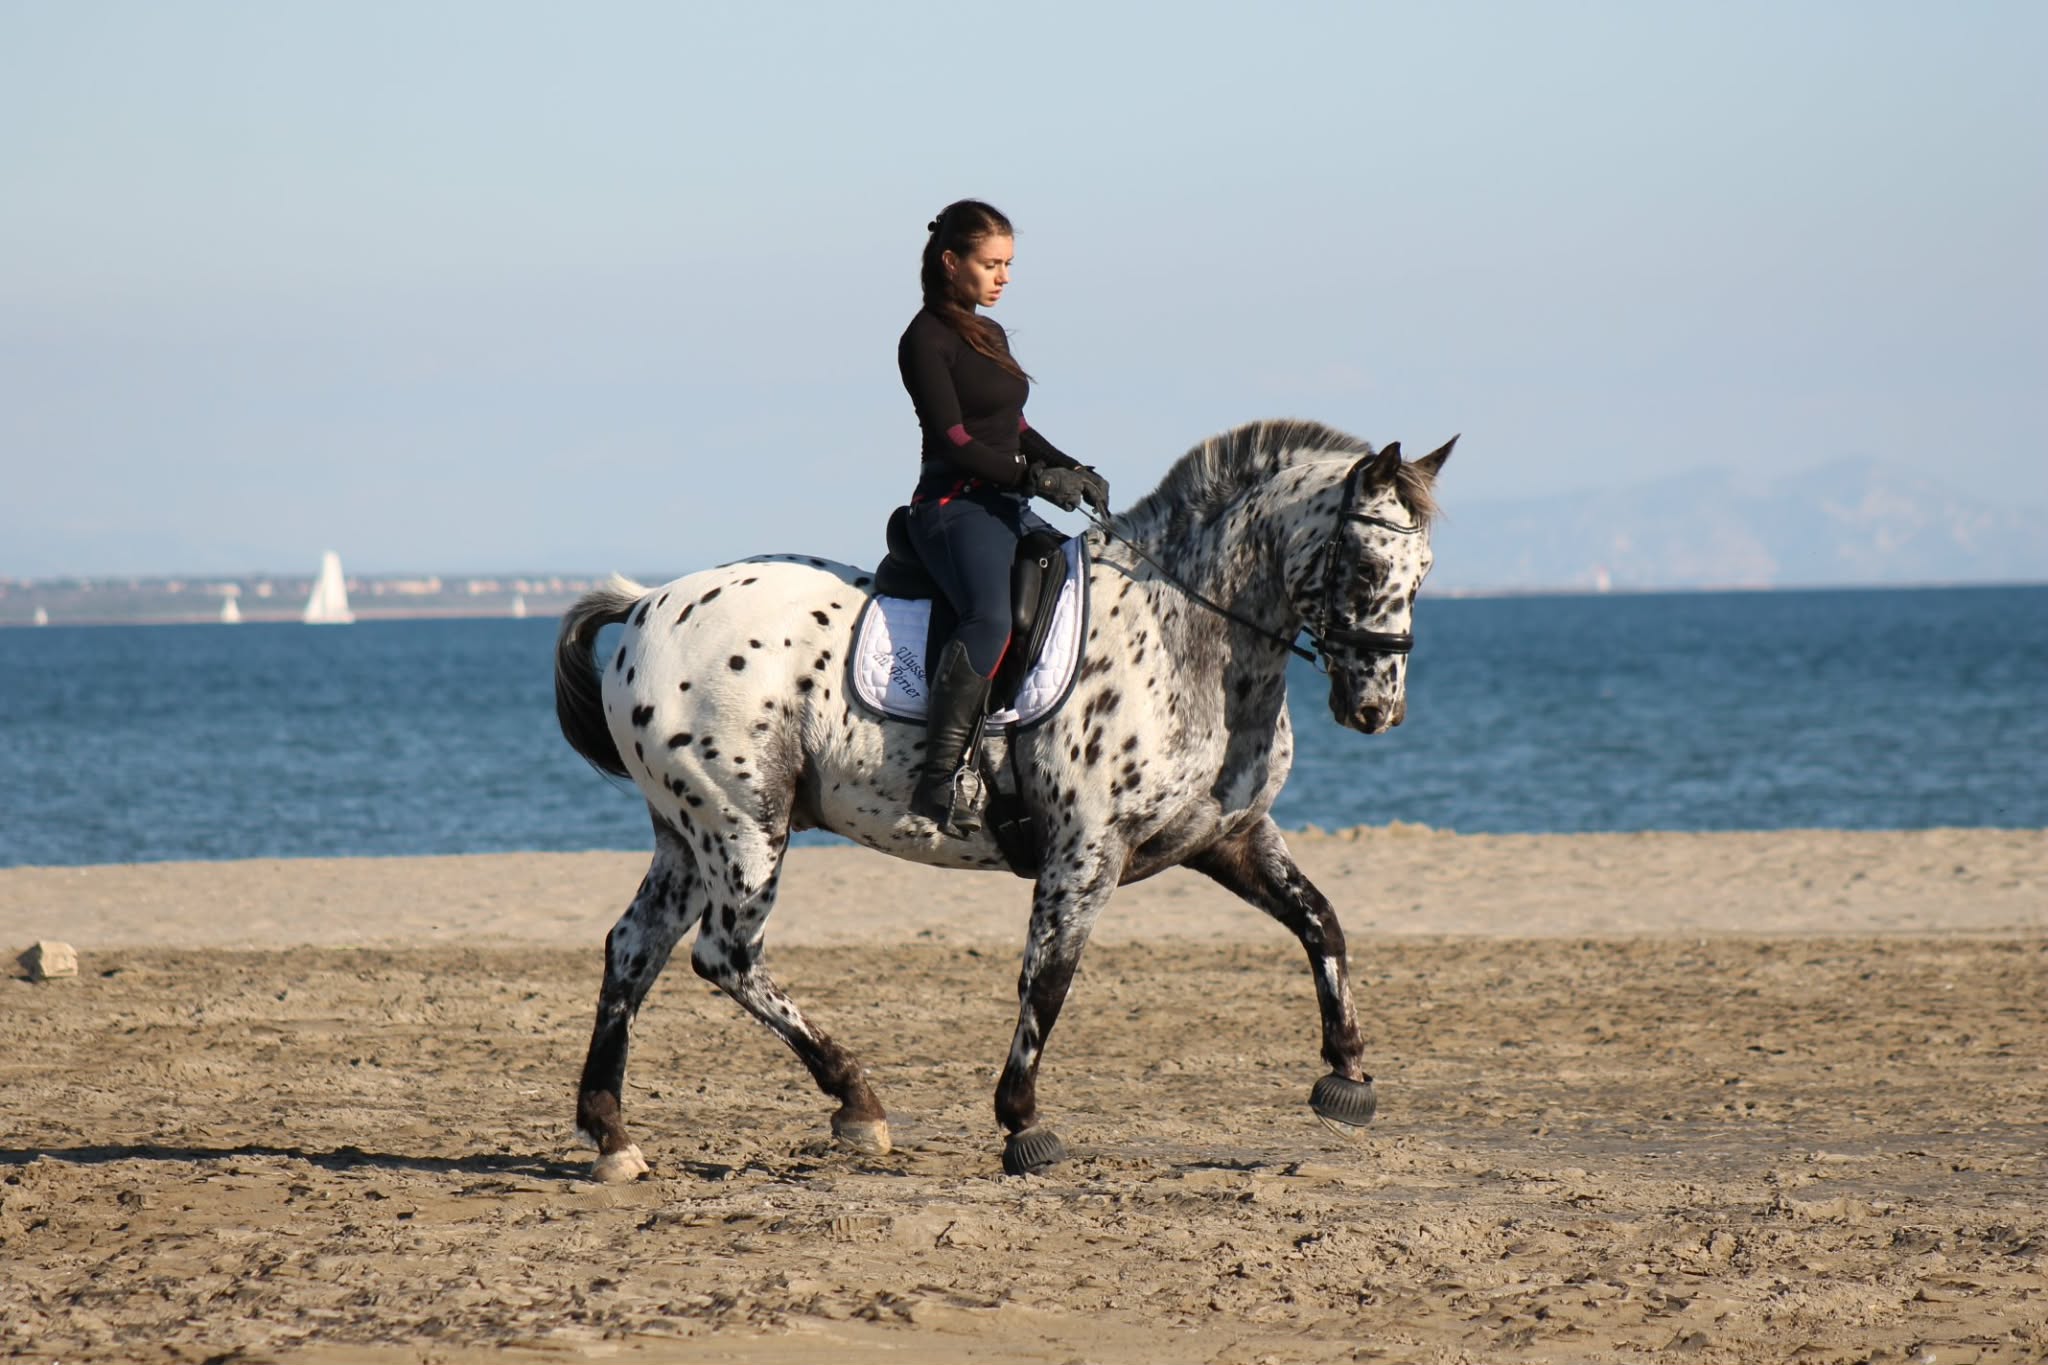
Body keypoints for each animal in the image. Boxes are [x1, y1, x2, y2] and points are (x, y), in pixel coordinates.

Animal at [553, 418, 1452, 1180]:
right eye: (1366, 566)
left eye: (1425, 574)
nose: (1377, 708)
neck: (1183, 634)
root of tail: (645, 605)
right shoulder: (1085, 850)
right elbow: (1047, 977)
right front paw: (1024, 1123)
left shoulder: (1226, 836)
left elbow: (1320, 921)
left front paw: (1347, 1074)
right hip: (744, 825)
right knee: (725, 954)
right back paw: (857, 1103)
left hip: (685, 833)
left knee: (634, 948)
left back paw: (613, 1136)